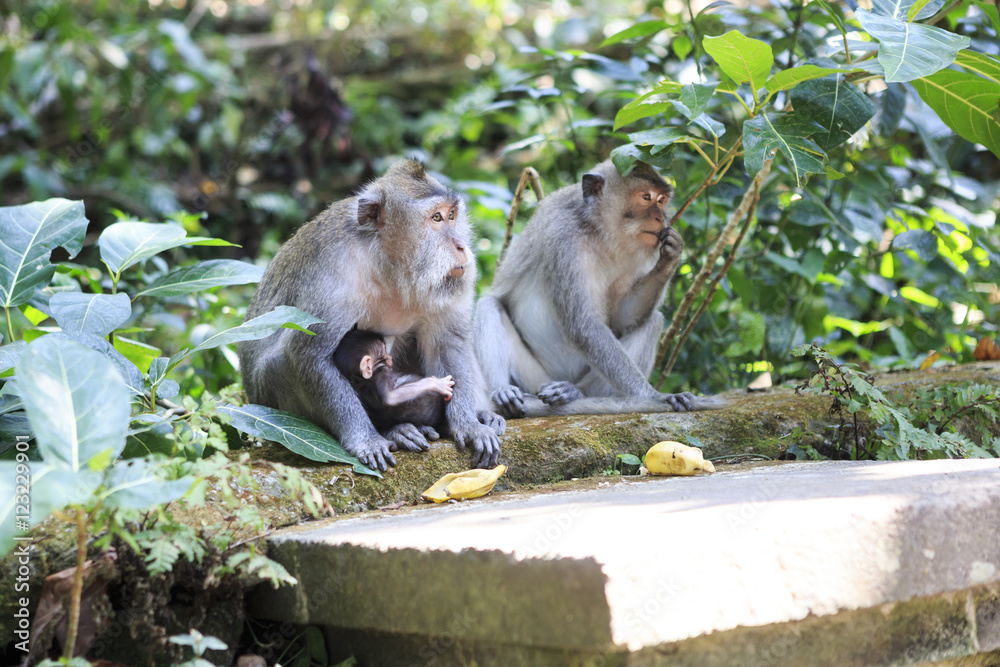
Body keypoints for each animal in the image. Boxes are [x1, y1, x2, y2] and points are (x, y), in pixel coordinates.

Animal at [238, 160, 504, 471]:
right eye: (436, 218)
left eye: (452, 215)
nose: (461, 246)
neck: (388, 265)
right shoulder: (333, 276)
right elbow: (310, 357)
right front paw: (366, 440)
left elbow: (447, 343)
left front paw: (468, 424)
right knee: (280, 363)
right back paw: (398, 431)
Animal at [475, 160, 724, 418]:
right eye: (646, 197)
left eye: (662, 199)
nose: (660, 218)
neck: (600, 232)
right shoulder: (563, 239)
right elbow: (583, 325)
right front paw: (656, 396)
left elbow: (621, 320)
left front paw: (671, 257)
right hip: (534, 378)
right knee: (489, 305)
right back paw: (503, 392)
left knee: (652, 321)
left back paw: (574, 392)